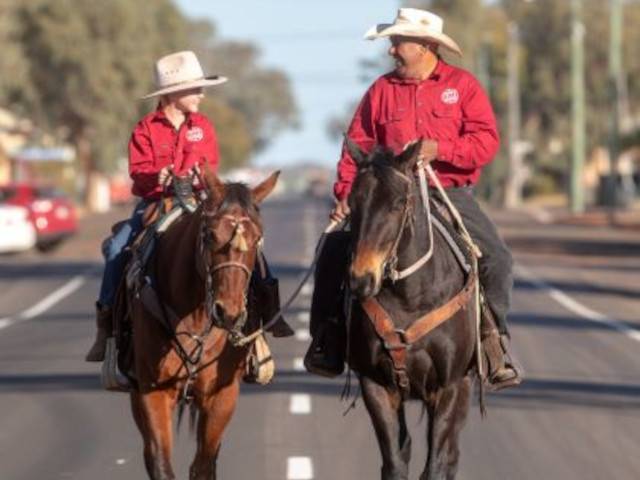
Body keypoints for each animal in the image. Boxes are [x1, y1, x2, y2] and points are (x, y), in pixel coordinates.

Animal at [126, 169, 278, 480]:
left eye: (258, 238)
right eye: (209, 235)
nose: (229, 313)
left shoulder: (221, 396)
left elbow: (204, 465)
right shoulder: (152, 391)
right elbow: (161, 463)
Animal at [344, 141, 476, 480]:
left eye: (398, 202)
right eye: (352, 202)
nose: (361, 279)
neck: (411, 298)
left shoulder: (447, 387)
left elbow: (436, 465)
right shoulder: (376, 385)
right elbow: (394, 460)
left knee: (450, 456)